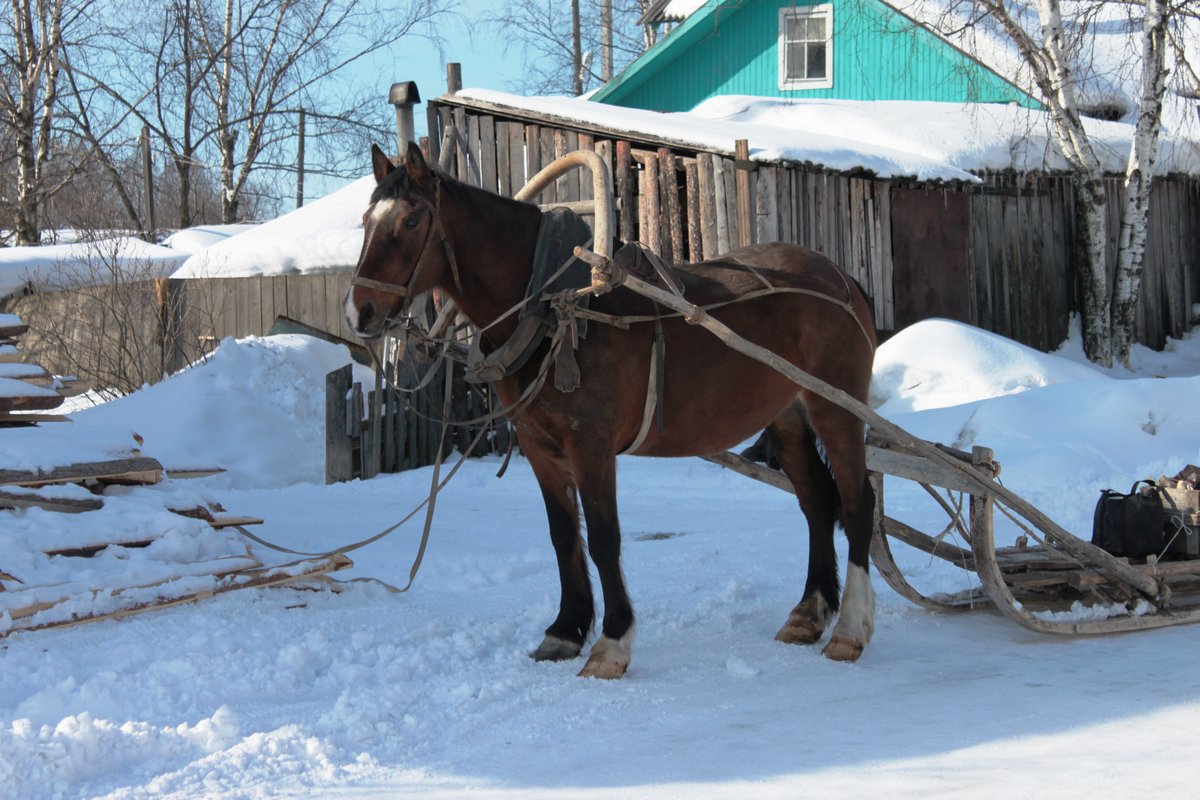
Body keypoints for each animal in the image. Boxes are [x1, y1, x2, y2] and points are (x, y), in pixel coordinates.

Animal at [345, 143, 878, 679]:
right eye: (366, 220)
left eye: (412, 220)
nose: (358, 312)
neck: (549, 306)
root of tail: (842, 279)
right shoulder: (540, 447)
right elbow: (564, 536)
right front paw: (564, 632)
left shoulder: (591, 445)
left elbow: (604, 538)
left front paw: (612, 642)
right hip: (788, 416)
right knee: (817, 502)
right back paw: (808, 613)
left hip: (835, 408)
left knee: (857, 503)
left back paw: (850, 627)